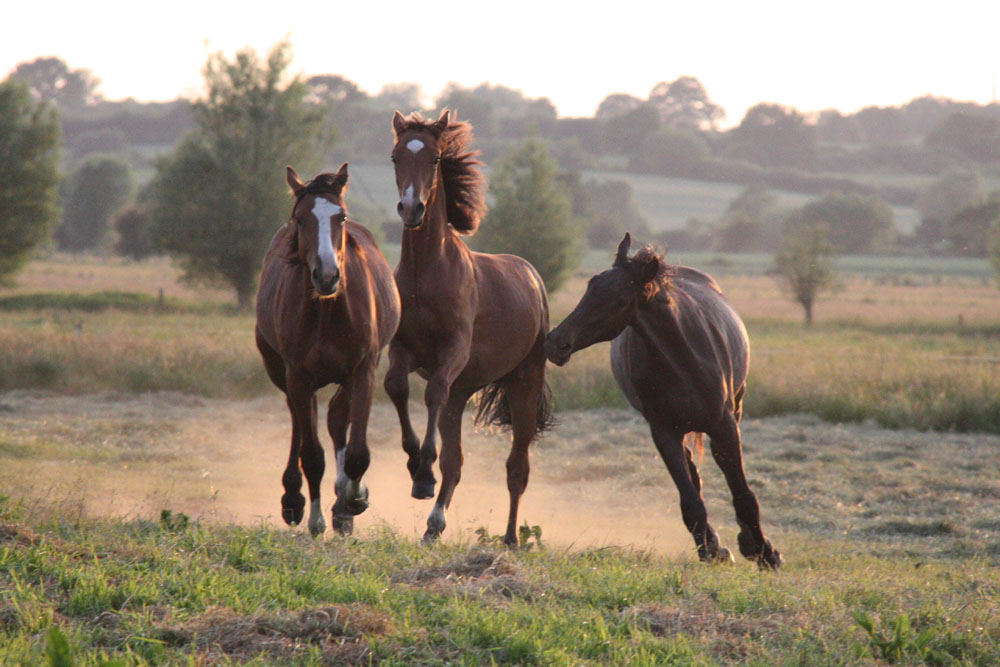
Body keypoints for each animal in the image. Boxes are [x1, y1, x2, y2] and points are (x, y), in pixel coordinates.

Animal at [256, 163, 400, 536]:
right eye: (301, 219)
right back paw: (293, 498)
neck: (327, 310)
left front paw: (353, 499)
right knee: (299, 420)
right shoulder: (298, 375)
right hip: (282, 373)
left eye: (341, 216)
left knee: (336, 418)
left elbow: (357, 452)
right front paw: (316, 517)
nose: (327, 275)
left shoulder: (363, 371)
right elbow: (312, 453)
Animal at [382, 109, 556, 544]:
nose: (411, 209)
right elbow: (396, 387)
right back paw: (433, 525)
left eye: (435, 158)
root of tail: (532, 278)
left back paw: (510, 538)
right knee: (456, 461)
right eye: (395, 157)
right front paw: (415, 466)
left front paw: (421, 473)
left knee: (517, 466)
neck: (426, 272)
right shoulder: (403, 350)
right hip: (463, 393)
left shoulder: (453, 351)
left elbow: (432, 392)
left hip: (524, 382)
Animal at [544, 235, 784, 568]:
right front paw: (710, 551)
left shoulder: (723, 426)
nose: (555, 343)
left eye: (617, 300)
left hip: (734, 409)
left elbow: (744, 496)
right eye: (590, 286)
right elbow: (691, 500)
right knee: (693, 475)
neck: (682, 358)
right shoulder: (663, 431)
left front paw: (764, 552)